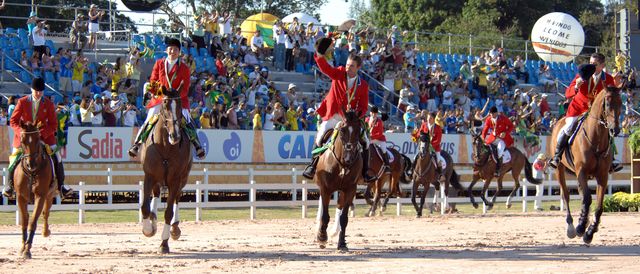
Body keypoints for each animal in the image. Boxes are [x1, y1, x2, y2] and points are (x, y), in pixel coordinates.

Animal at [13, 121, 56, 260]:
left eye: (38, 139)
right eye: (22, 140)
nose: (30, 164)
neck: (31, 172)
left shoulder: (40, 196)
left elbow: (32, 221)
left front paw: (27, 250)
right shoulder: (20, 197)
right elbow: (24, 221)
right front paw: (23, 247)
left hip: (50, 195)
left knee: (46, 213)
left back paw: (46, 231)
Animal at [138, 89, 192, 254]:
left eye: (180, 106)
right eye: (165, 104)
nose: (175, 135)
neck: (165, 146)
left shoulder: (175, 180)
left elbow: (169, 212)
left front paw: (164, 244)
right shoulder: (149, 176)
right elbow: (144, 207)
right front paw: (148, 229)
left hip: (183, 179)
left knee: (176, 199)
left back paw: (175, 229)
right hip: (158, 179)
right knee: (156, 195)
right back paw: (153, 219)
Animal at [314, 108, 362, 250]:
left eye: (359, 130)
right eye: (343, 130)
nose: (349, 158)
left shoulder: (350, 189)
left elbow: (344, 218)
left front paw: (342, 243)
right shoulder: (325, 188)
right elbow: (325, 215)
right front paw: (322, 237)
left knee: (339, 208)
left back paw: (335, 232)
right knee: (322, 209)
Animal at [552, 86, 624, 244]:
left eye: (621, 103)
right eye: (607, 104)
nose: (614, 130)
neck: (595, 138)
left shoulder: (602, 176)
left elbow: (598, 205)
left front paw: (590, 231)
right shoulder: (582, 172)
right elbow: (587, 198)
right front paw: (580, 228)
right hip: (560, 170)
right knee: (566, 195)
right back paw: (572, 227)